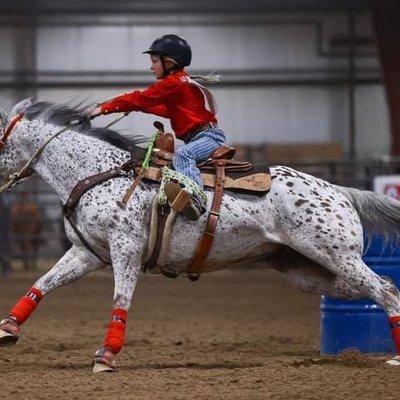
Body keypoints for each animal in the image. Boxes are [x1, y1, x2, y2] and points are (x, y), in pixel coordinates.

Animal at [0, 99, 400, 372]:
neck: (99, 172)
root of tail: (338, 190)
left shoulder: (125, 250)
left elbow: (121, 299)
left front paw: (107, 355)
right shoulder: (86, 253)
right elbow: (42, 284)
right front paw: (8, 329)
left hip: (337, 256)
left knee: (384, 290)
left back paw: (394, 357)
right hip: (310, 272)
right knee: (380, 290)